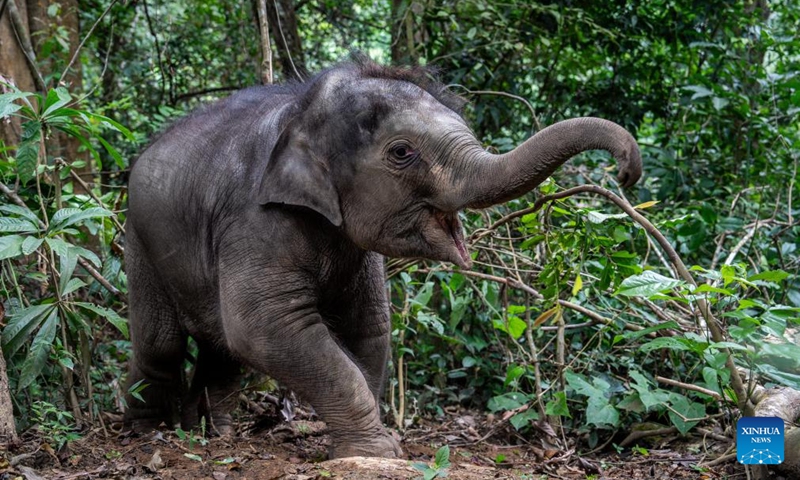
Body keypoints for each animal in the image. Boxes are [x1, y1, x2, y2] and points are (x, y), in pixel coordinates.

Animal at [123, 55, 642, 459]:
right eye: (402, 152)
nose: (625, 170)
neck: (301, 111)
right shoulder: (253, 220)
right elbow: (263, 326)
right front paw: (376, 451)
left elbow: (368, 326)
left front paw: (371, 442)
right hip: (138, 238)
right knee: (162, 343)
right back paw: (148, 432)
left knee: (221, 350)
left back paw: (213, 432)